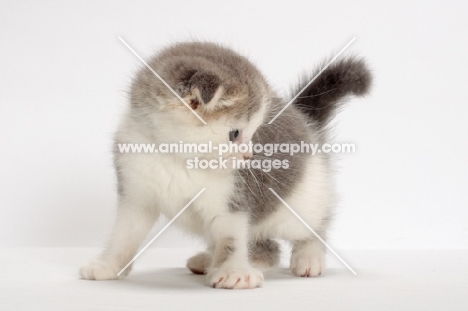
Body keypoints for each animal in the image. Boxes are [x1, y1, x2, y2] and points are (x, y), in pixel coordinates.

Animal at [80, 42, 372, 290]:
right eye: (235, 134)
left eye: (255, 132)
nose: (248, 156)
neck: (178, 158)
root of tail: (306, 125)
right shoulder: (136, 193)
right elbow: (124, 234)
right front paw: (108, 264)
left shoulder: (234, 198)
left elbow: (231, 238)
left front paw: (233, 272)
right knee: (268, 248)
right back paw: (214, 260)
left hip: (302, 200)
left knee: (313, 225)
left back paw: (309, 256)